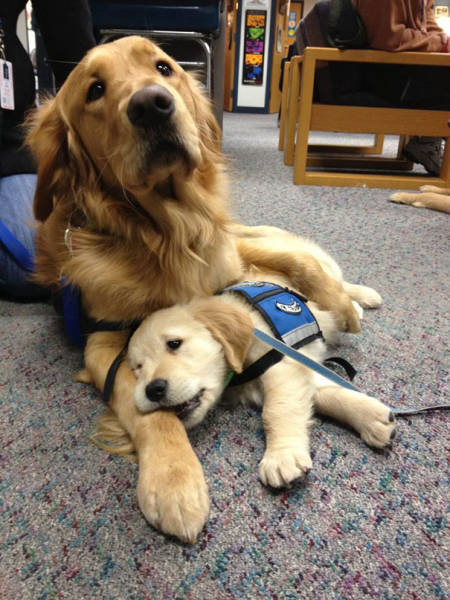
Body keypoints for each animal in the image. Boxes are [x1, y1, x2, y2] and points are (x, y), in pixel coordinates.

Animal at [26, 36, 364, 544]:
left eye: (163, 67)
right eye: (95, 89)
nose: (151, 104)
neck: (166, 232)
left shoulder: (228, 264)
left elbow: (296, 265)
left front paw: (341, 306)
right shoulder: (103, 342)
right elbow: (151, 411)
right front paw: (173, 481)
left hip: (244, 235)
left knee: (297, 252)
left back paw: (357, 297)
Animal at [126, 274, 394, 490]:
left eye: (174, 343)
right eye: (138, 368)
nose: (153, 389)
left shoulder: (281, 364)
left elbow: (276, 410)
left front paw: (281, 456)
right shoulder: (294, 373)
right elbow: (324, 395)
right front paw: (372, 418)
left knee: (337, 285)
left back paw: (363, 300)